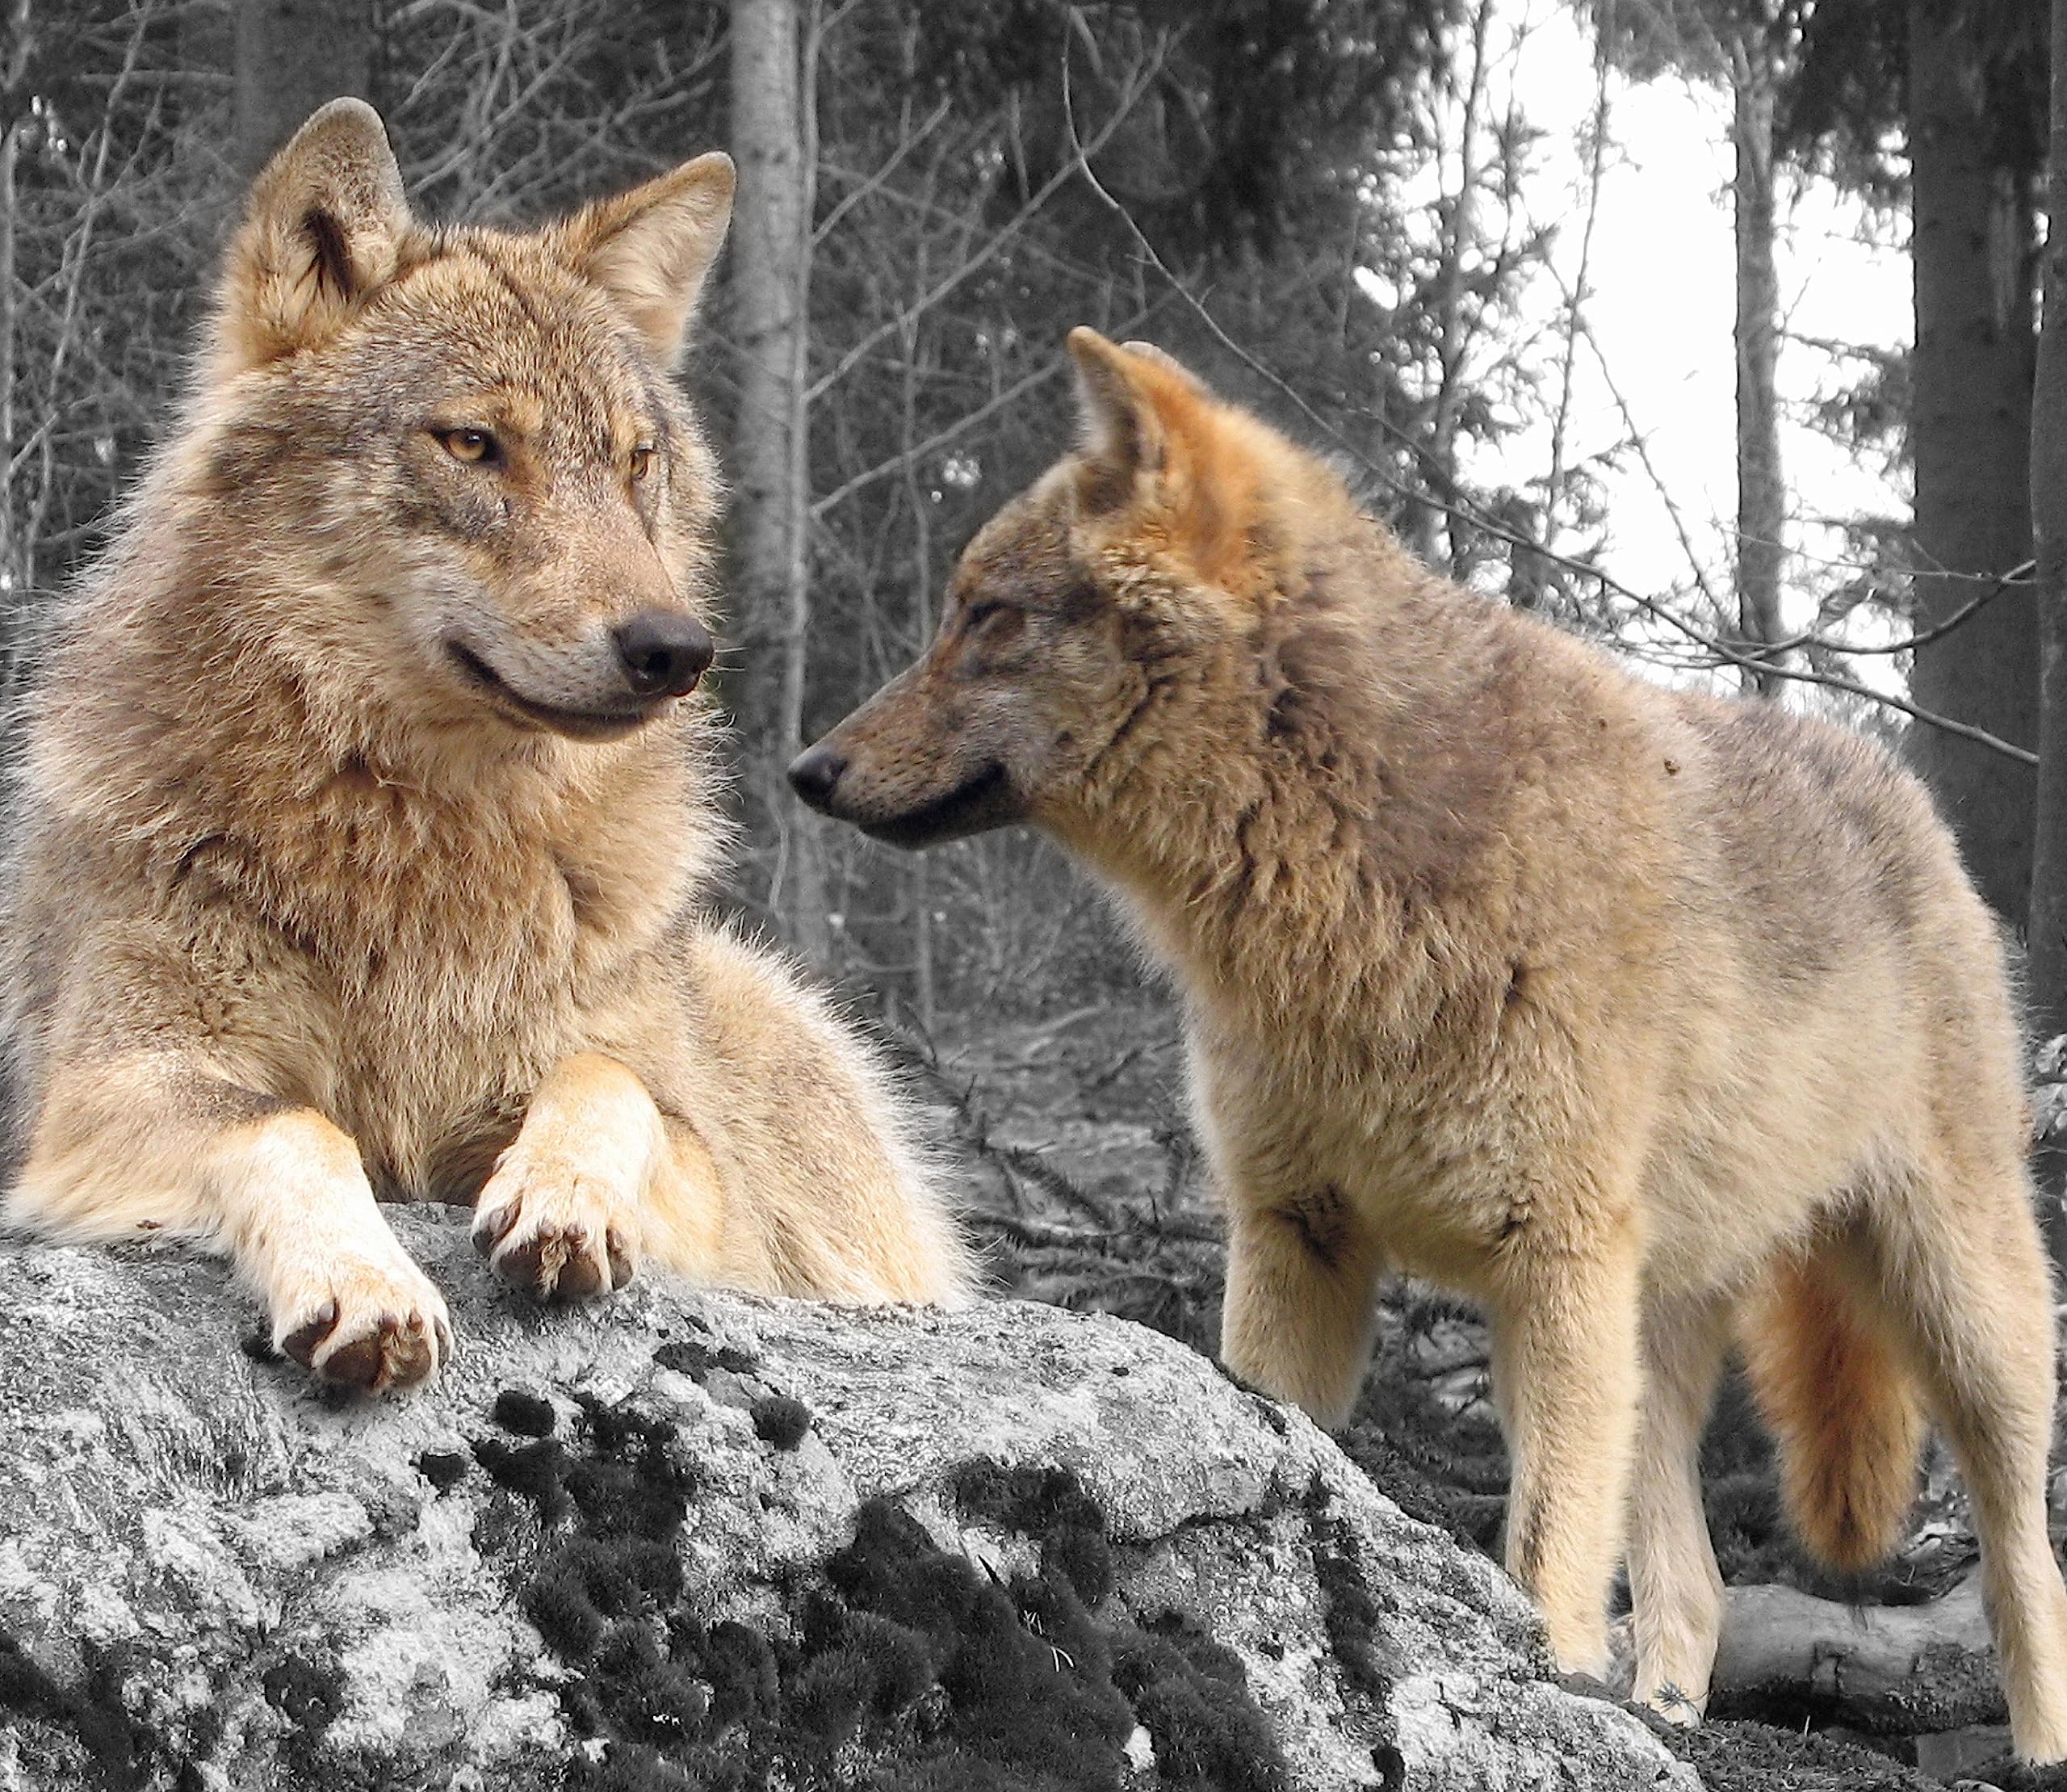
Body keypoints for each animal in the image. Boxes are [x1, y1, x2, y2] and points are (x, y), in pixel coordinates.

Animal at [0, 100, 969, 1396]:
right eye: (471, 444)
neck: (422, 835)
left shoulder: (708, 1183)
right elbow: (298, 1125)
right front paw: (362, 1279)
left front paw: (565, 1196)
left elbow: (609, 1081)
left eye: (634, 461)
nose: (674, 648)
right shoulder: (103, 1098)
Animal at [789, 327, 2067, 1760]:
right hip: (1657, 1349)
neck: (1345, 882)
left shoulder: (1551, 1268)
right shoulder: (1296, 1237)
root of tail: (1906, 791)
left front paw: (1535, 1691)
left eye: (989, 615)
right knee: (1694, 1587)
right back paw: (1662, 1715)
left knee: (2026, 1565)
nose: (807, 768)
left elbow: (1544, 1553)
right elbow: (1290, 1444)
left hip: (1963, 1321)